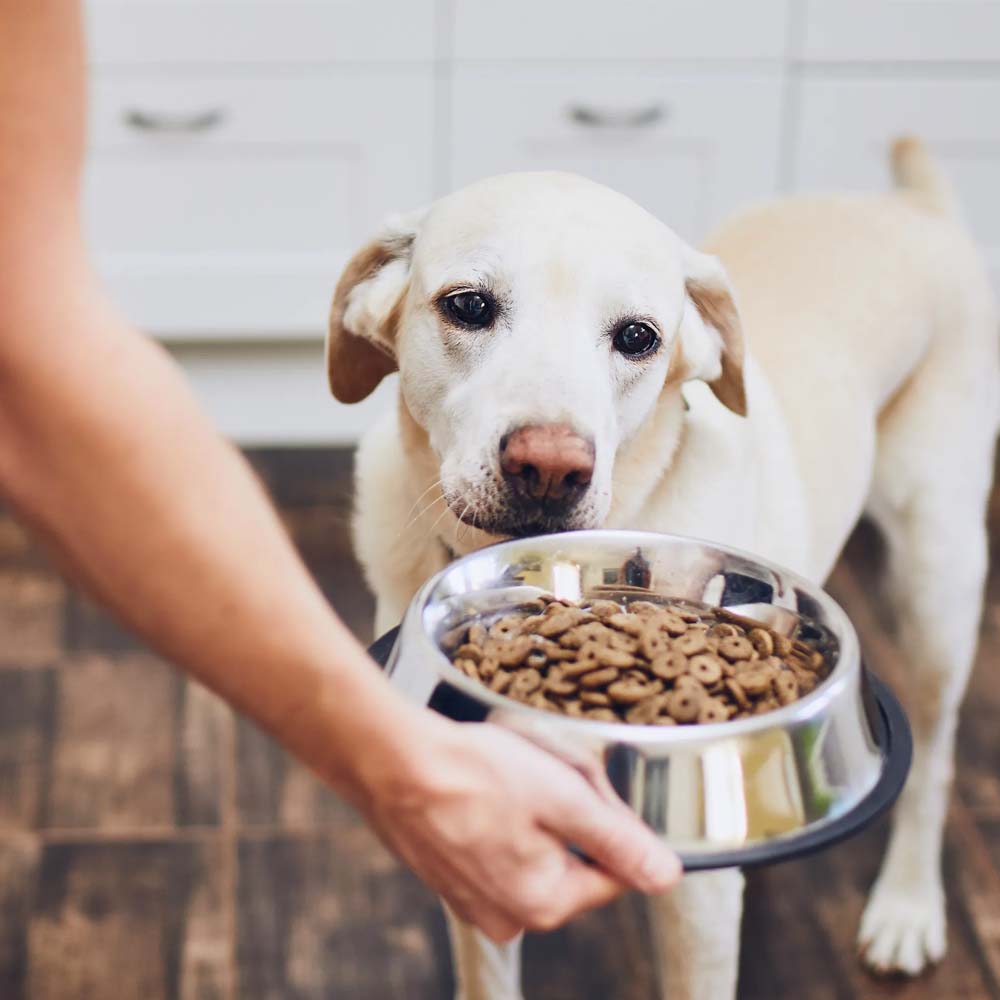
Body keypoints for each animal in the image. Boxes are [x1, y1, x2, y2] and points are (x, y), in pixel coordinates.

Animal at [328, 135, 1000, 1000]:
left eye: (638, 337)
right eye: (468, 306)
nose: (549, 468)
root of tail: (914, 207)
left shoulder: (697, 903)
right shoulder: (479, 851)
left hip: (938, 576)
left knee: (939, 758)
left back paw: (907, 907)